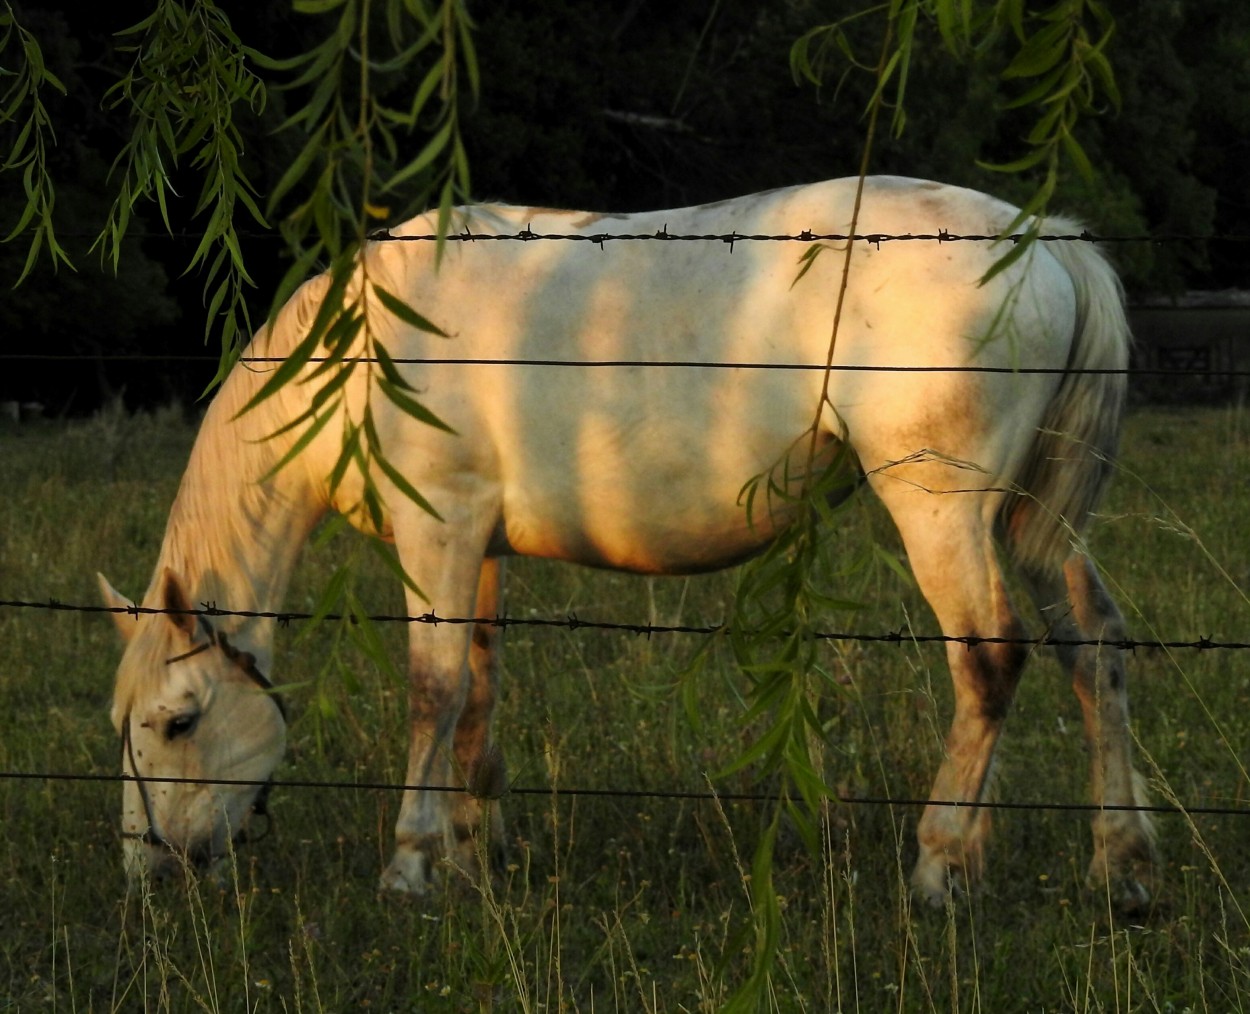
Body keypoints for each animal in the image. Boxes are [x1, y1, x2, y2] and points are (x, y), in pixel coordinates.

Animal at [102, 176, 1155, 910]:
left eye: (177, 722)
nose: (150, 869)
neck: (368, 348)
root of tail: (1045, 244)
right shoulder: (478, 546)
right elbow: (477, 690)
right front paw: (475, 855)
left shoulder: (436, 530)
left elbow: (432, 690)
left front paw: (410, 864)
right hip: (1034, 521)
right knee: (1093, 649)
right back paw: (1122, 865)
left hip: (943, 512)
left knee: (990, 660)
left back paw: (941, 867)